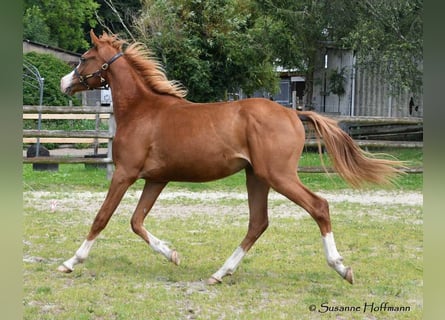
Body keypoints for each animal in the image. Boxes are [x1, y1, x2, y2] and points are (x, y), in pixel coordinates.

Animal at [59, 30, 402, 284]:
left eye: (85, 58)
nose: (64, 83)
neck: (142, 111)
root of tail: (294, 113)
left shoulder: (125, 173)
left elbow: (102, 217)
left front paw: (71, 261)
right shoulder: (157, 179)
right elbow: (136, 221)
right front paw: (173, 254)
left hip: (278, 175)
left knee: (318, 207)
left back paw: (342, 268)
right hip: (257, 177)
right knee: (258, 222)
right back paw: (220, 273)